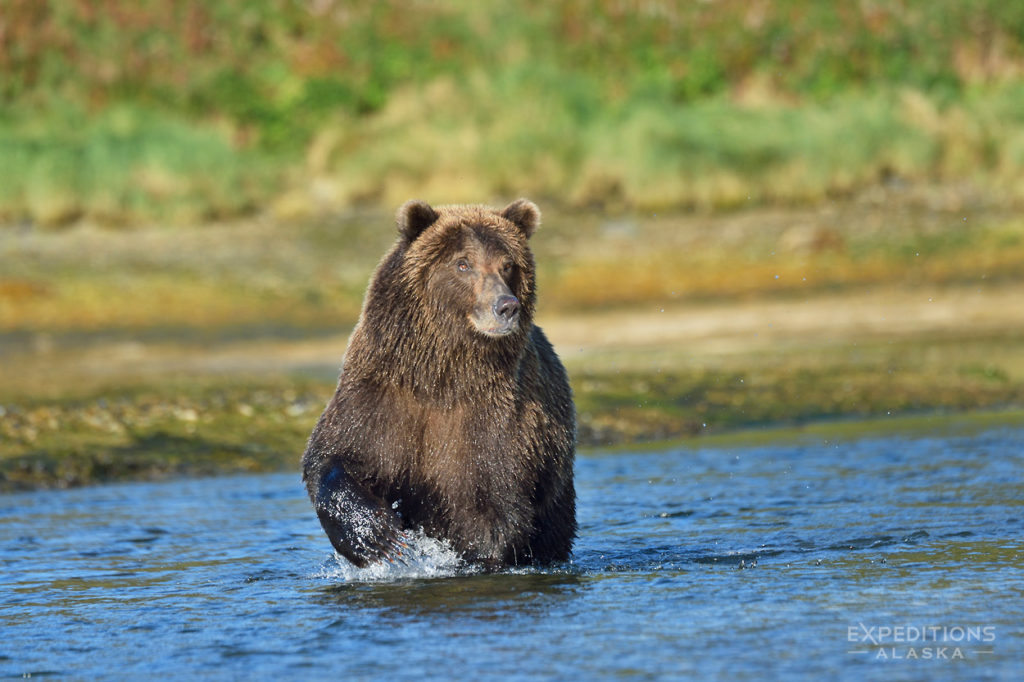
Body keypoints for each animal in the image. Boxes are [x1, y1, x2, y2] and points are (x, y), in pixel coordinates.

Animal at [301, 197, 577, 569]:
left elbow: (493, 503)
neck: (441, 376)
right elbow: (333, 457)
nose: (506, 306)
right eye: (463, 264)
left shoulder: (497, 421)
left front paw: (468, 558)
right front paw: (377, 535)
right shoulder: (380, 395)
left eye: (507, 265)